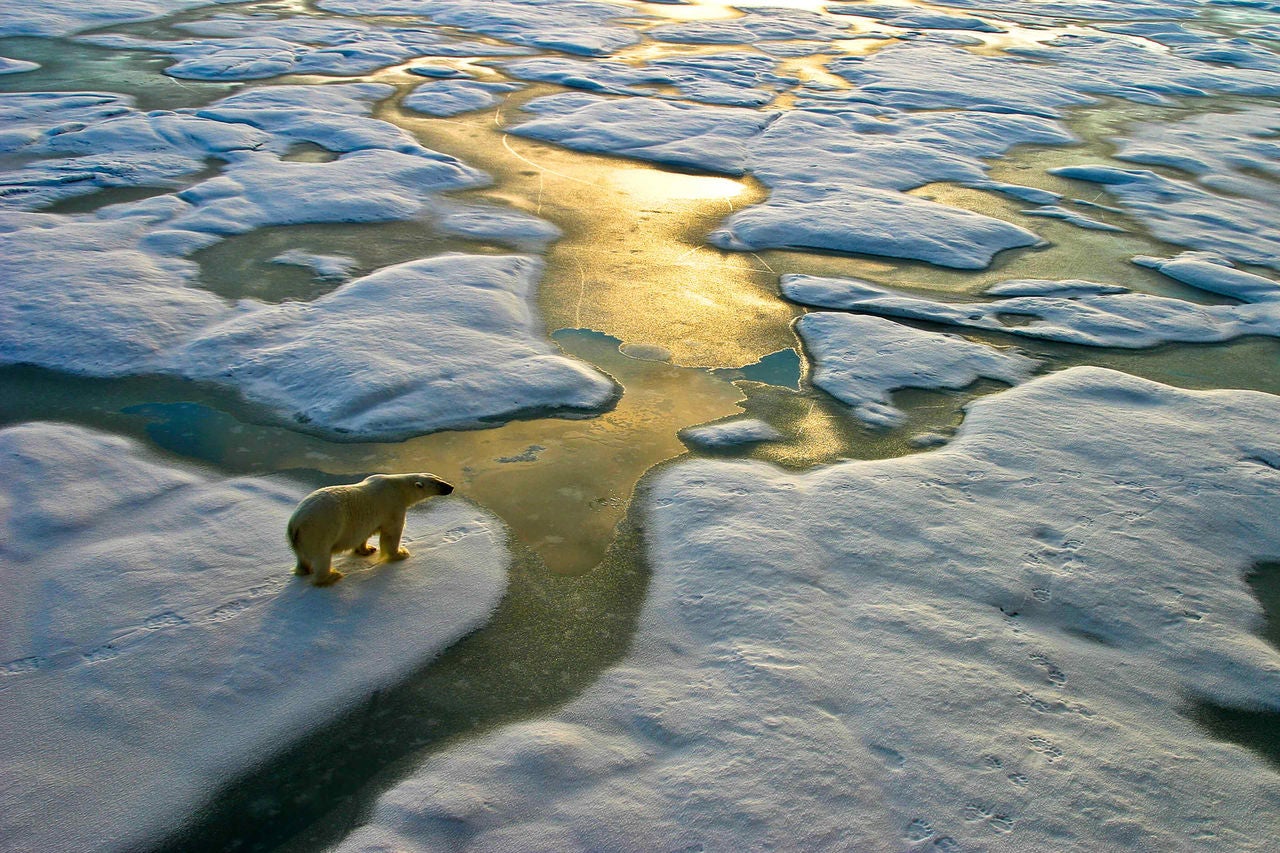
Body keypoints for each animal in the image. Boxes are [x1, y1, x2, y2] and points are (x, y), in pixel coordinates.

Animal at [289, 471, 455, 584]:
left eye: (440, 478)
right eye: (438, 483)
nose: (451, 487)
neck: (398, 487)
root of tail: (295, 524)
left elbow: (365, 534)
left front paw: (367, 549)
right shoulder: (393, 505)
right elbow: (392, 533)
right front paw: (400, 553)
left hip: (301, 540)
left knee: (302, 558)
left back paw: (305, 570)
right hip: (319, 530)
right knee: (321, 556)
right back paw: (332, 576)